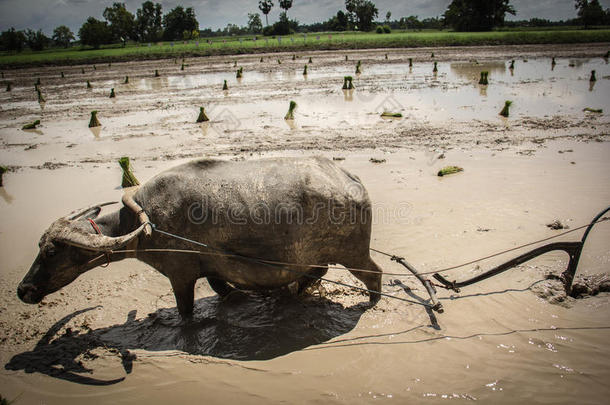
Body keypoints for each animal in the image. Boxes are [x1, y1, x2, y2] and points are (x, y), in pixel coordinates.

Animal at [17, 156, 380, 318]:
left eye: (51, 252)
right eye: (40, 247)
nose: (24, 289)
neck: (145, 224)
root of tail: (350, 178)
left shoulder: (180, 276)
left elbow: (185, 311)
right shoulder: (214, 270)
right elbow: (224, 290)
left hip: (354, 253)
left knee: (373, 274)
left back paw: (371, 302)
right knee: (316, 272)